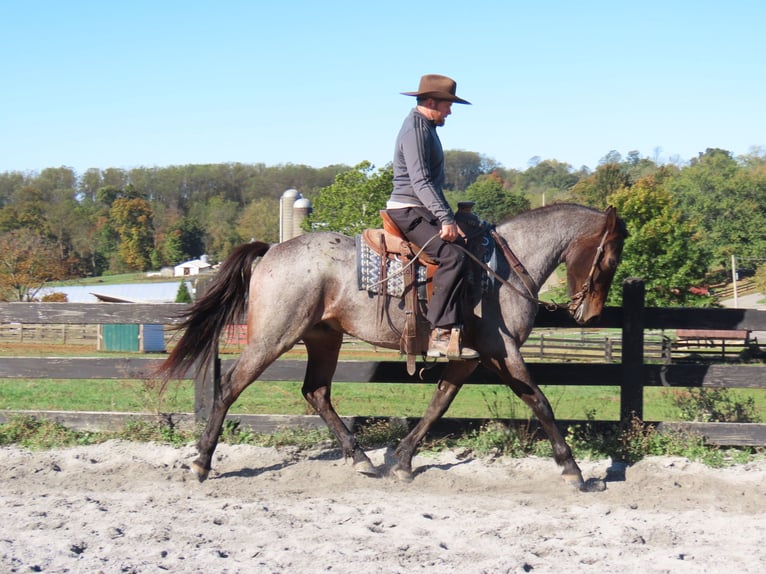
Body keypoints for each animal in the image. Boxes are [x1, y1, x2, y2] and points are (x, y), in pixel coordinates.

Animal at [160, 203, 627, 491]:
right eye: (610, 257)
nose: (589, 315)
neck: (500, 271)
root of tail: (273, 248)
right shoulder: (503, 352)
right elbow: (540, 403)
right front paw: (573, 470)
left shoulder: (468, 358)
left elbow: (439, 403)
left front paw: (400, 461)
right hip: (273, 337)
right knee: (230, 387)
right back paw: (201, 462)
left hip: (324, 338)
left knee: (316, 392)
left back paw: (360, 458)